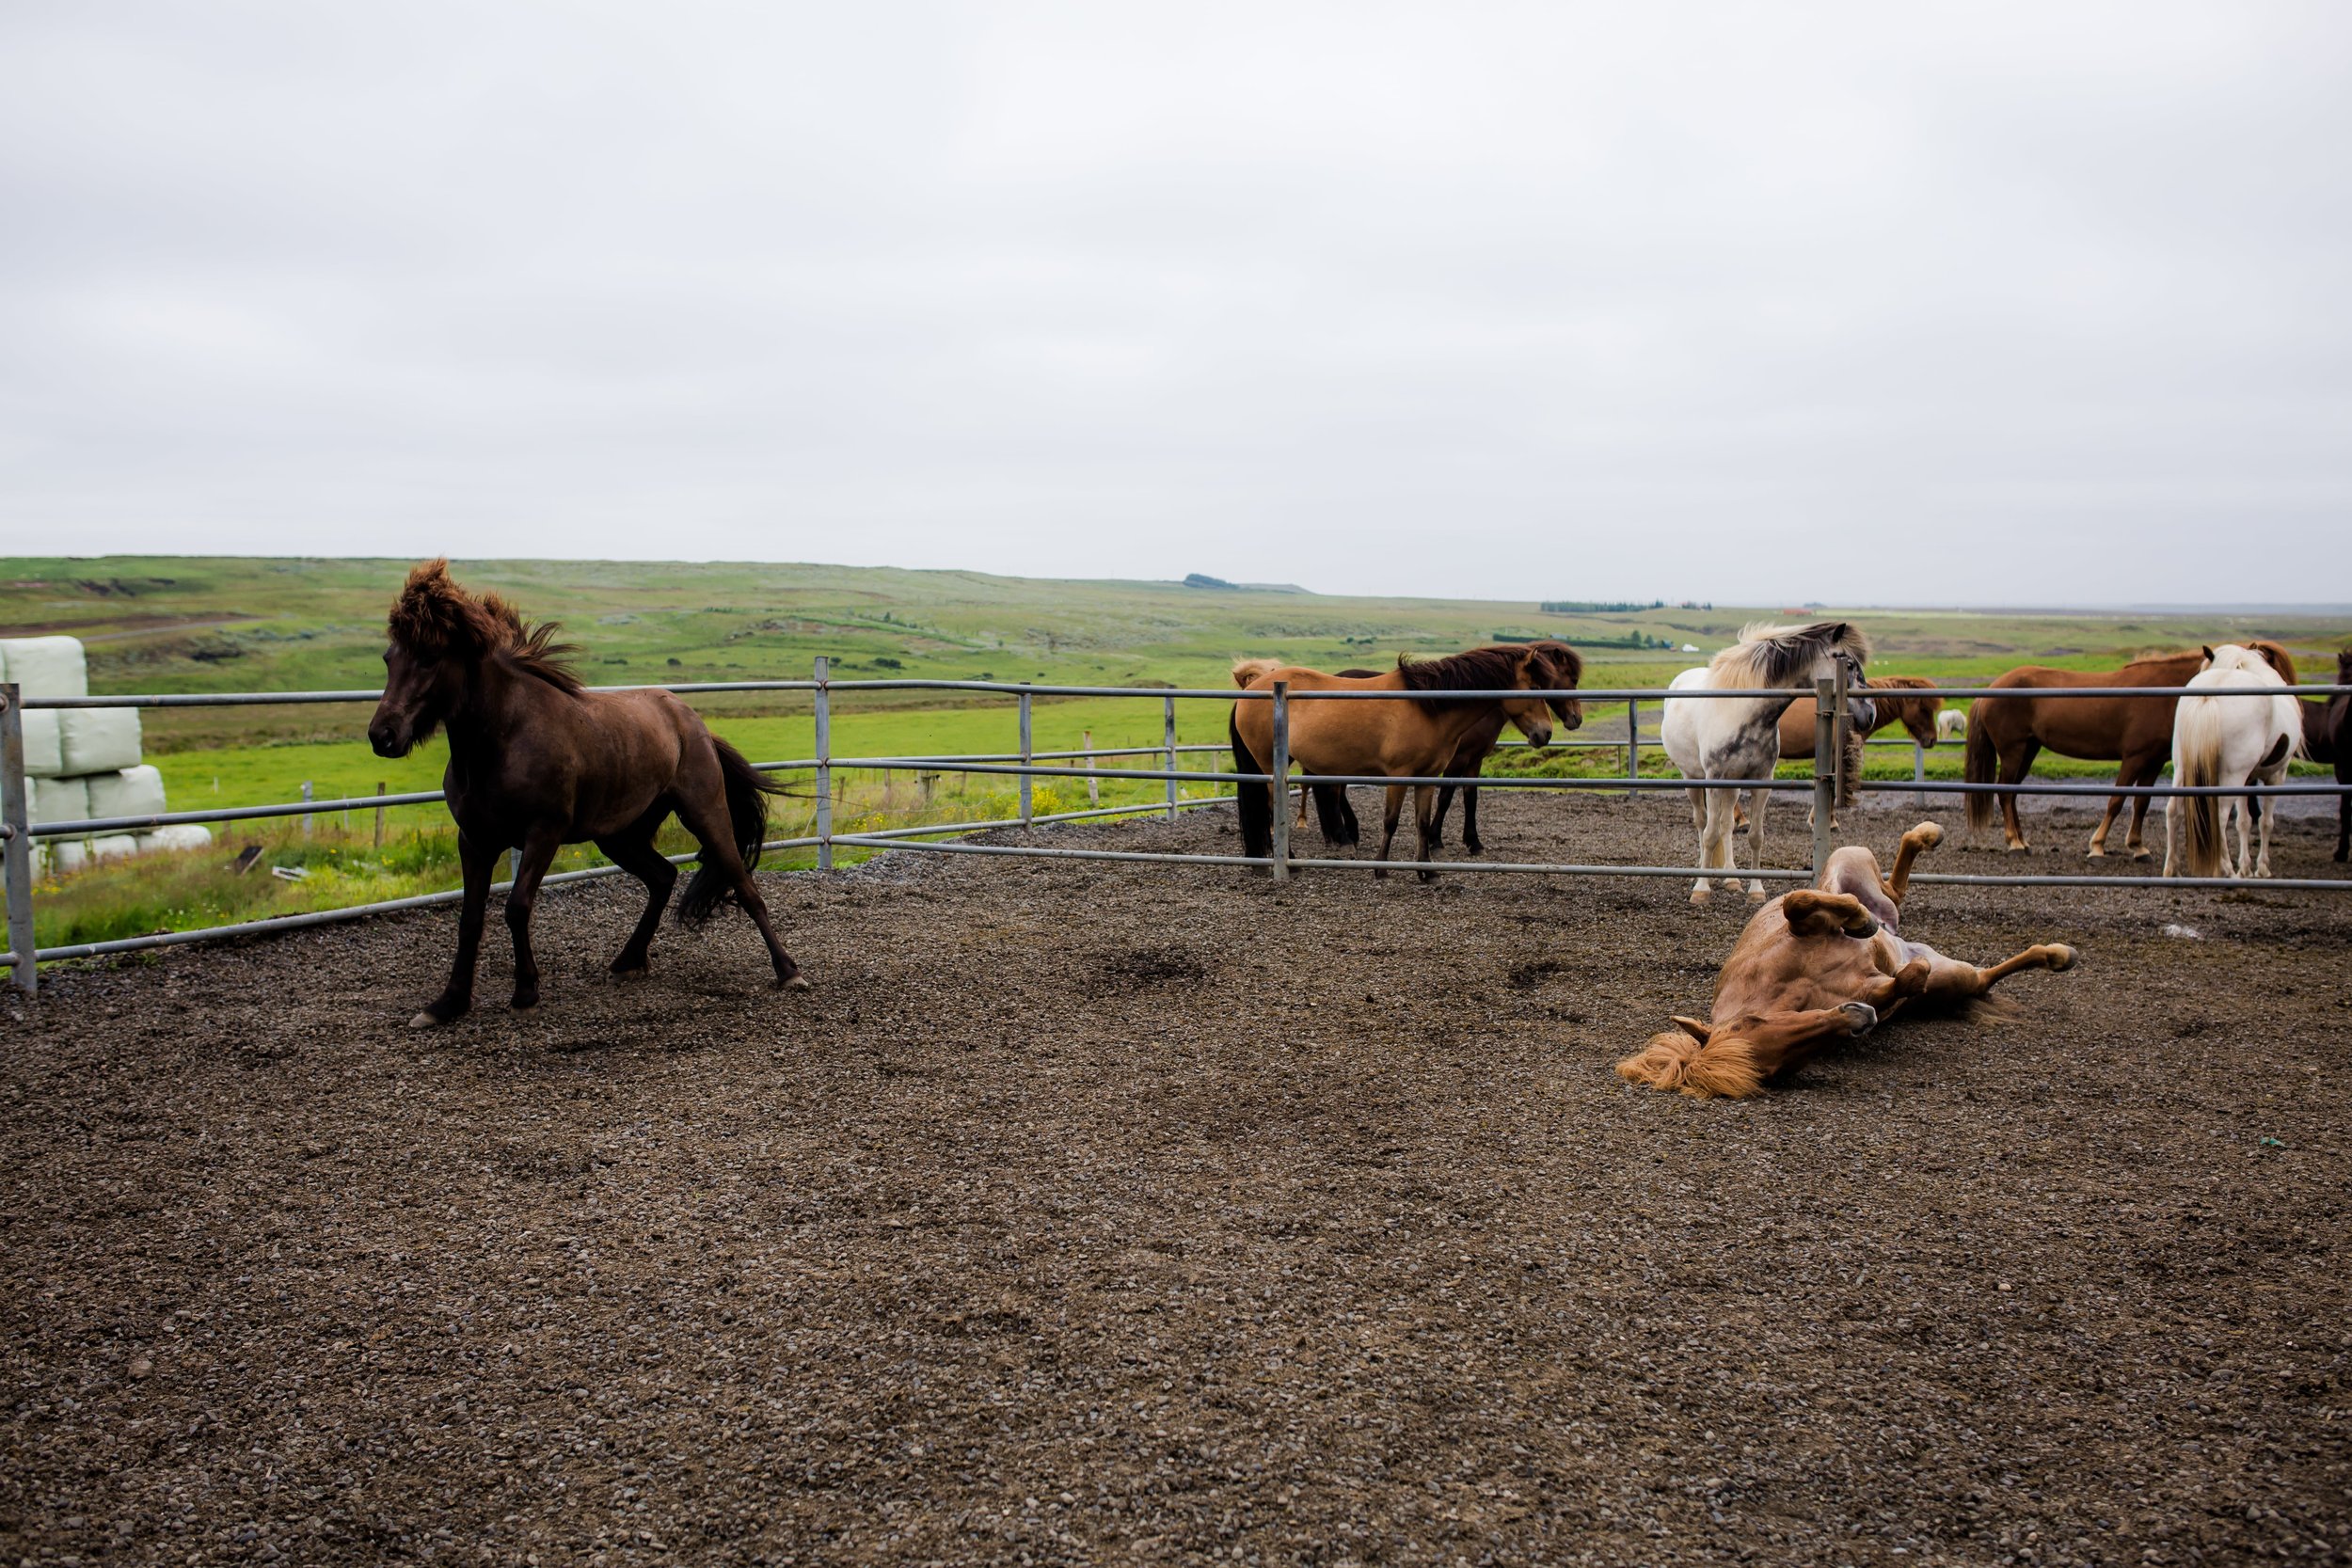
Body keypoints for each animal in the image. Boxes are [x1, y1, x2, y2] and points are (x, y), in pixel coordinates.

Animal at [367, 557, 809, 1024]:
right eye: (389, 658)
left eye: (430, 658)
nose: (383, 735)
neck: (503, 740)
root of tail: (694, 722)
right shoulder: (474, 840)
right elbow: (470, 920)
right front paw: (447, 1004)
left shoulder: (543, 832)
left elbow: (517, 906)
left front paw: (526, 991)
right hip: (620, 835)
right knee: (663, 877)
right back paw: (627, 961)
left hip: (704, 812)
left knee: (743, 884)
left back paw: (788, 971)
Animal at [1618, 822, 2079, 1104]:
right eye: (1777, 1070)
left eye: (1755, 1022)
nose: (1859, 1019)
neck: (1792, 985)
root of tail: (1903, 935)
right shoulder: (1871, 988)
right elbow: (1904, 982)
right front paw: (1896, 986)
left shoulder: (1802, 923)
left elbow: (1798, 902)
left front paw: (1858, 922)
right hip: (1956, 979)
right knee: (1979, 976)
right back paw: (2056, 955)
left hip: (1846, 859)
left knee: (1886, 889)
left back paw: (1923, 840)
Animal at [1656, 615, 1872, 902]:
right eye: (1848, 663)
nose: (1870, 714)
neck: (1744, 712)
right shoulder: (1714, 780)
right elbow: (1710, 834)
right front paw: (1701, 889)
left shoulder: (1762, 782)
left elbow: (1754, 836)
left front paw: (1756, 890)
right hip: (1693, 779)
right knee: (1702, 824)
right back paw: (1705, 873)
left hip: (1732, 785)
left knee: (1726, 824)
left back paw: (1731, 878)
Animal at [1966, 639, 2296, 860]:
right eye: (2240, 670)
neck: (2163, 693)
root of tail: (1992, 689)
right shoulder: (2134, 758)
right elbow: (2117, 800)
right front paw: (2097, 846)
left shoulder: (2153, 762)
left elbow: (2141, 803)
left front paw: (2138, 846)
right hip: (2014, 750)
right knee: (2005, 792)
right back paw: (2014, 842)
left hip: (2029, 750)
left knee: (2012, 794)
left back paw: (2022, 840)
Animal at [2154, 639, 2305, 883]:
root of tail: (2210, 695)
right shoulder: (2276, 775)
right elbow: (2265, 822)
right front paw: (2261, 868)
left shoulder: (2247, 779)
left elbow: (2243, 821)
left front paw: (2246, 868)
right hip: (2233, 775)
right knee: (2220, 816)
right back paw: (2227, 870)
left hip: (2182, 768)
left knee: (2173, 810)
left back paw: (2172, 868)